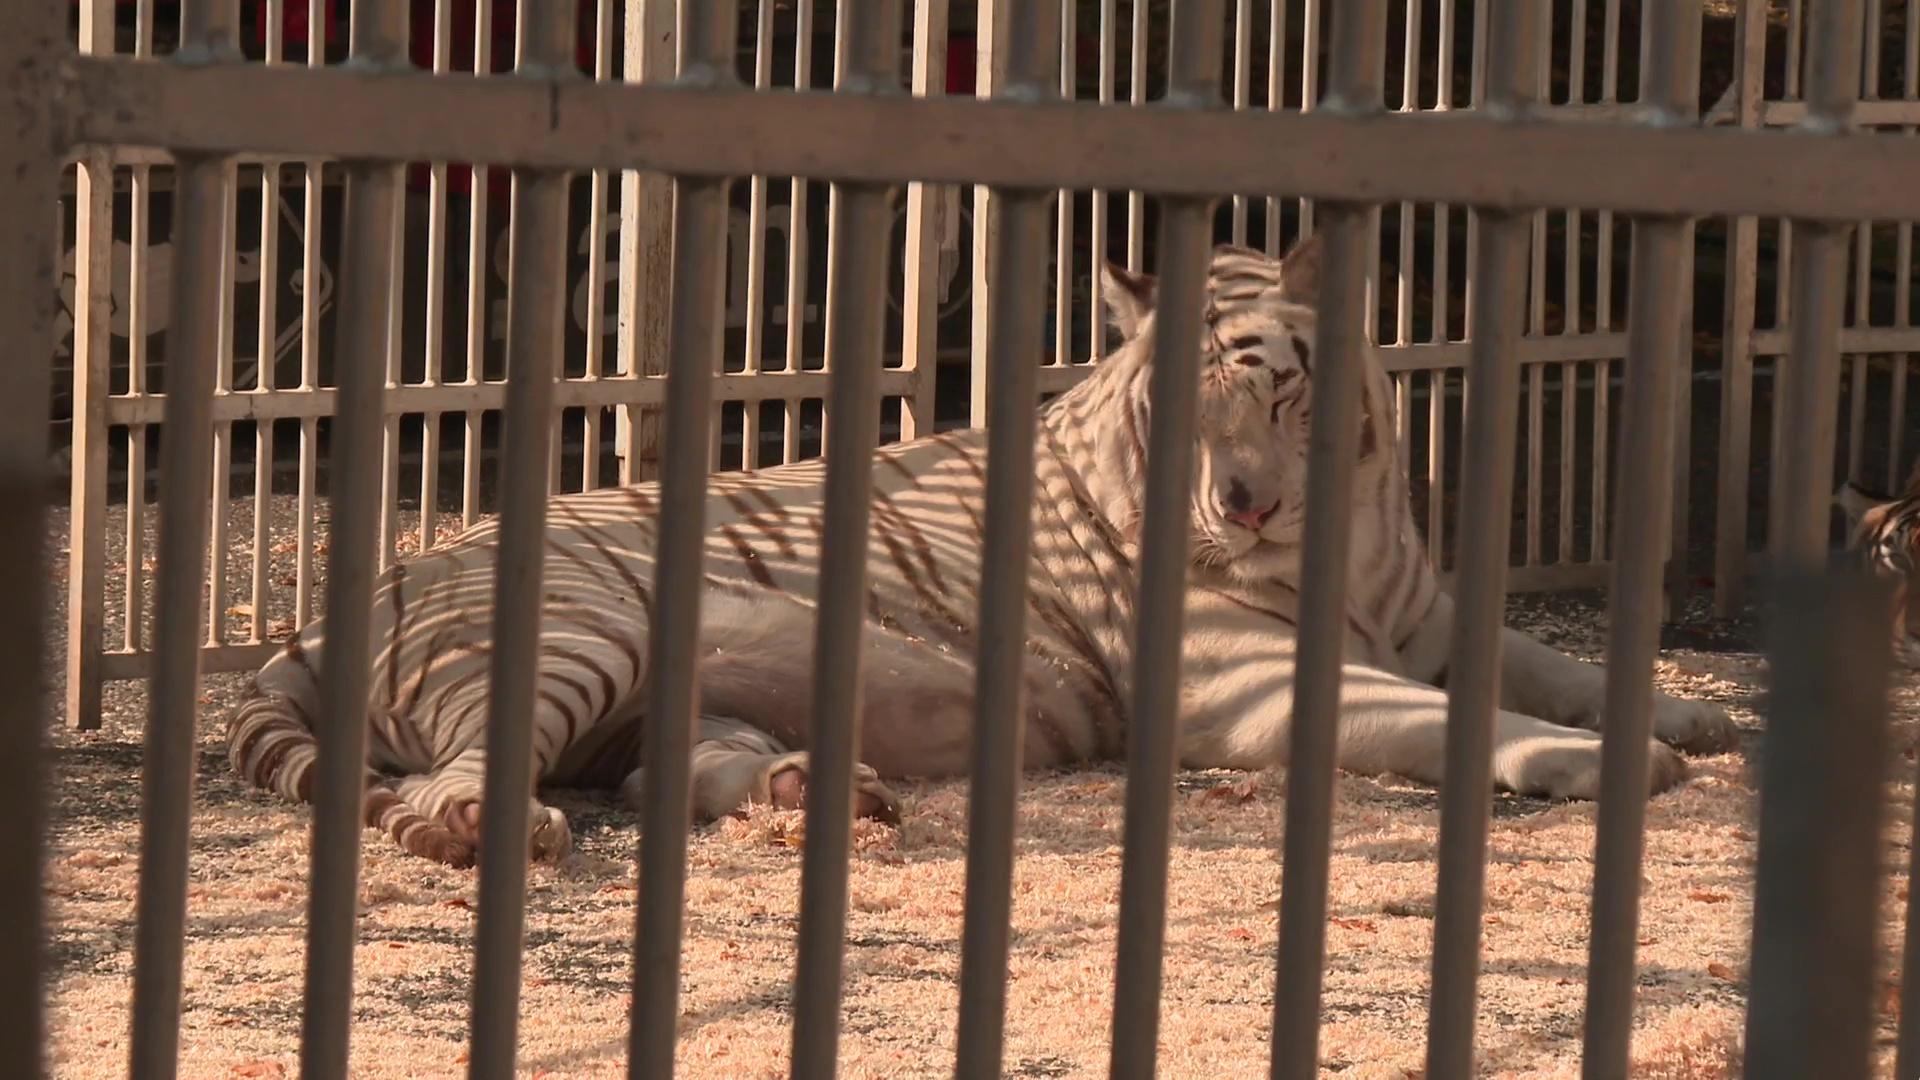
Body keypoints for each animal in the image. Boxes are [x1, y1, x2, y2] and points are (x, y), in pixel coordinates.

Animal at [228, 237, 1743, 864]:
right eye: (1178, 412)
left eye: (1274, 393)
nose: (1239, 506)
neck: (1342, 529)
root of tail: (322, 613)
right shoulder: (1253, 682)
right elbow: (1457, 716)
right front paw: (1616, 762)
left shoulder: (1427, 614)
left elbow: (1548, 662)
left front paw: (1691, 716)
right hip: (569, 638)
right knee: (450, 782)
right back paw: (480, 828)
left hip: (670, 689)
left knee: (669, 766)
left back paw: (812, 795)